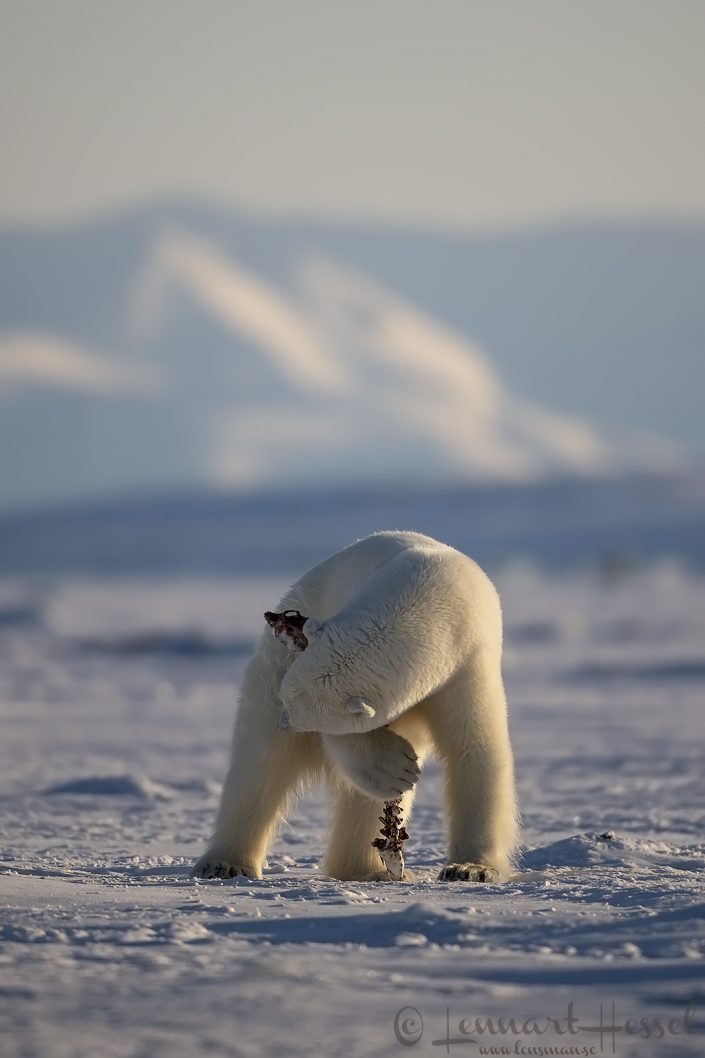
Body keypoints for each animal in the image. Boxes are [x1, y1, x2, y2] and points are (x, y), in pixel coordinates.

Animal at [192, 531, 518, 883]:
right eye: (287, 697)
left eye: (297, 709)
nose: (284, 721)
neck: (431, 603)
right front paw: (396, 766)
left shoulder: (467, 660)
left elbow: (473, 747)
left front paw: (471, 870)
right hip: (272, 663)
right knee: (261, 764)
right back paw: (225, 863)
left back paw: (368, 868)